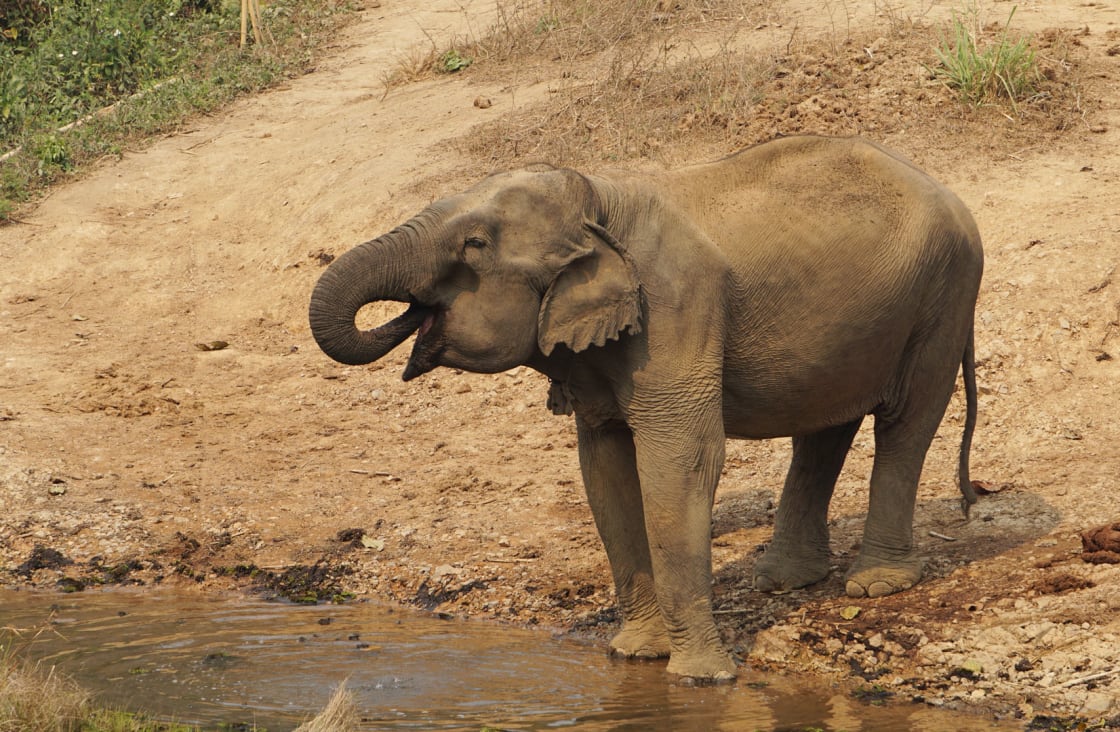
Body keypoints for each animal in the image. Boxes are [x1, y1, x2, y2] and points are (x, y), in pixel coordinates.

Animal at [306, 135, 981, 680]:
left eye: (474, 245)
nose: (410, 318)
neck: (601, 200)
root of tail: (947, 190)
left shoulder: (675, 308)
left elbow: (680, 460)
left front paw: (701, 678)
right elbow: (604, 470)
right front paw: (634, 656)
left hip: (944, 296)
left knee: (906, 422)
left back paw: (877, 583)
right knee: (825, 427)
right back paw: (786, 578)